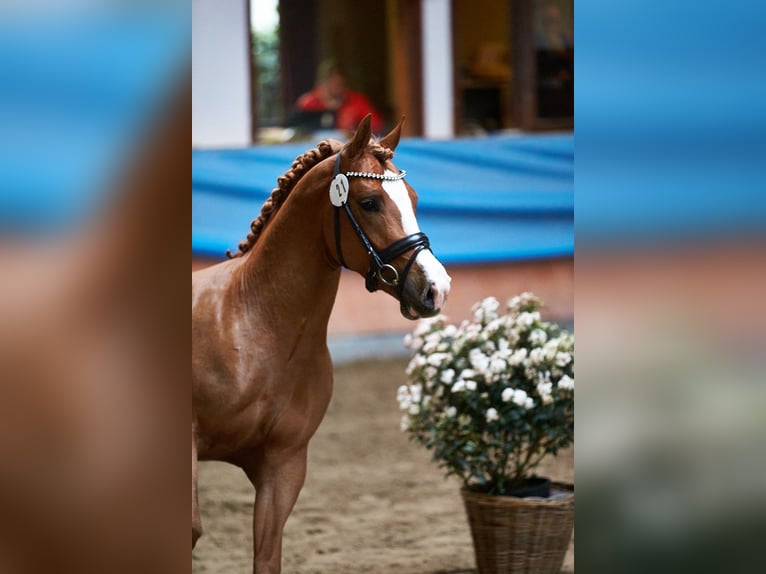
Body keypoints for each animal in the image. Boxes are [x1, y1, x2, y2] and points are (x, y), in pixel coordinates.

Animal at [191, 115, 451, 574]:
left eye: (414, 199)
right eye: (370, 202)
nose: (437, 288)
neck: (254, 326)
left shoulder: (284, 466)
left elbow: (267, 553)